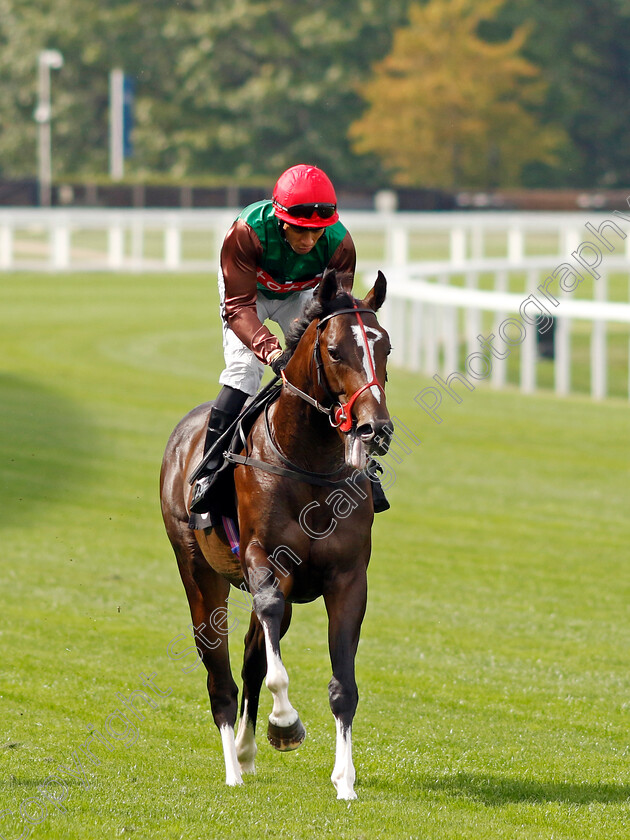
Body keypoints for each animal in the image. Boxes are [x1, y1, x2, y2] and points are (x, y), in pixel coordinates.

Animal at [160, 270, 392, 800]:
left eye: (385, 346)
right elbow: (268, 661)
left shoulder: (349, 579)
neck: (309, 463)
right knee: (221, 675)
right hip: (199, 571)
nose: (375, 428)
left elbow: (342, 686)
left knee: (250, 657)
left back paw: (245, 754)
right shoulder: (265, 563)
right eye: (335, 351)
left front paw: (345, 781)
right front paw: (285, 723)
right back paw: (231, 767)